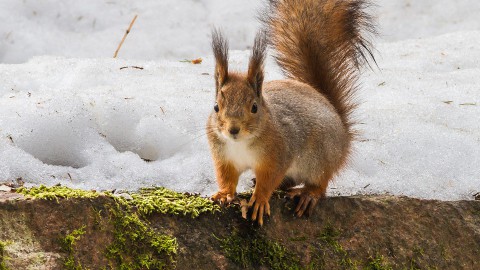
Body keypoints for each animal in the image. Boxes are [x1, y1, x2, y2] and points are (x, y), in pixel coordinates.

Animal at [206, 0, 376, 226]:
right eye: (216, 107)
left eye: (254, 107)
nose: (233, 129)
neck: (241, 143)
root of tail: (344, 136)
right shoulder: (223, 157)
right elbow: (226, 177)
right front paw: (225, 193)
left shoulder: (278, 155)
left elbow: (269, 179)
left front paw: (260, 199)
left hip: (319, 157)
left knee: (320, 183)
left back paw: (308, 194)